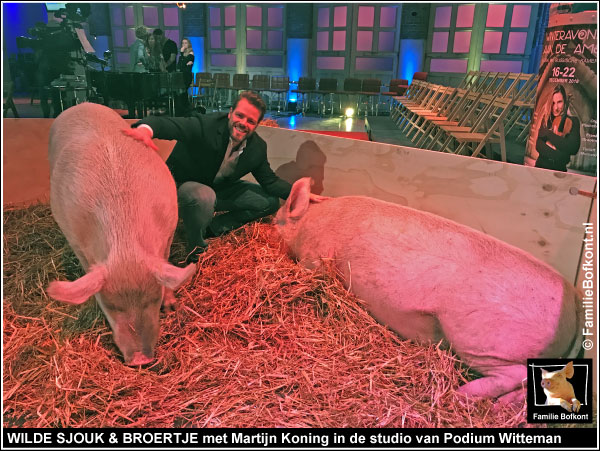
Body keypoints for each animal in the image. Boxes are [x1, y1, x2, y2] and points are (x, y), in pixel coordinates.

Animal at [47, 103, 197, 368]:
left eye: (153, 298)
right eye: (111, 305)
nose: (140, 360)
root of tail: (81, 104)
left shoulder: (168, 231)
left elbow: (167, 265)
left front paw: (172, 307)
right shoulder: (75, 239)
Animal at [276, 177, 580, 402]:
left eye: (276, 220)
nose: (268, 222)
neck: (309, 220)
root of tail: (575, 308)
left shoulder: (315, 257)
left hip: (482, 339)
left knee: (517, 375)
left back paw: (462, 395)